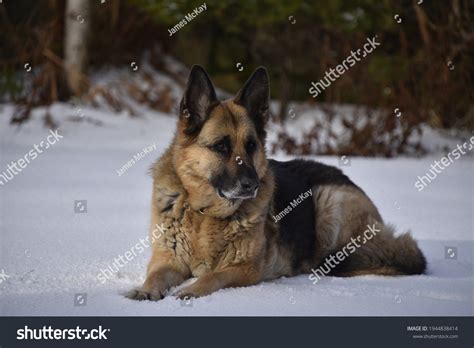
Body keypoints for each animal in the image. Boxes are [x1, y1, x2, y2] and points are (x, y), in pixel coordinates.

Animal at [126, 66, 426, 302]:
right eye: (221, 146)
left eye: (251, 146)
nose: (251, 185)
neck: (204, 214)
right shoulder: (168, 259)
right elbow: (155, 276)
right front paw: (145, 290)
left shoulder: (246, 269)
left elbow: (213, 278)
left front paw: (191, 290)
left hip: (329, 204)